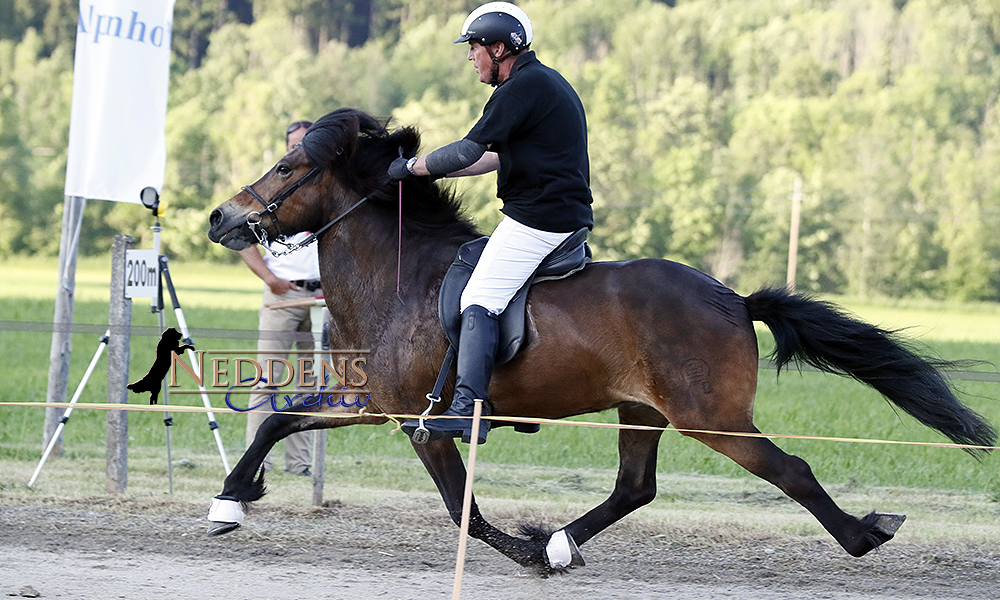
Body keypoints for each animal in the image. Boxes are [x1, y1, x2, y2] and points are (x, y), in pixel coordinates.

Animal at [207, 108, 996, 572]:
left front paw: (518, 550)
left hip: (710, 418)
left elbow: (461, 507)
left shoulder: (421, 424)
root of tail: (732, 298)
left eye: (286, 168)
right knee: (634, 488)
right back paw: (559, 542)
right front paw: (231, 500)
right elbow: (279, 420)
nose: (220, 218)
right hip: (643, 411)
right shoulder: (376, 405)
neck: (399, 275)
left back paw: (863, 535)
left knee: (792, 470)